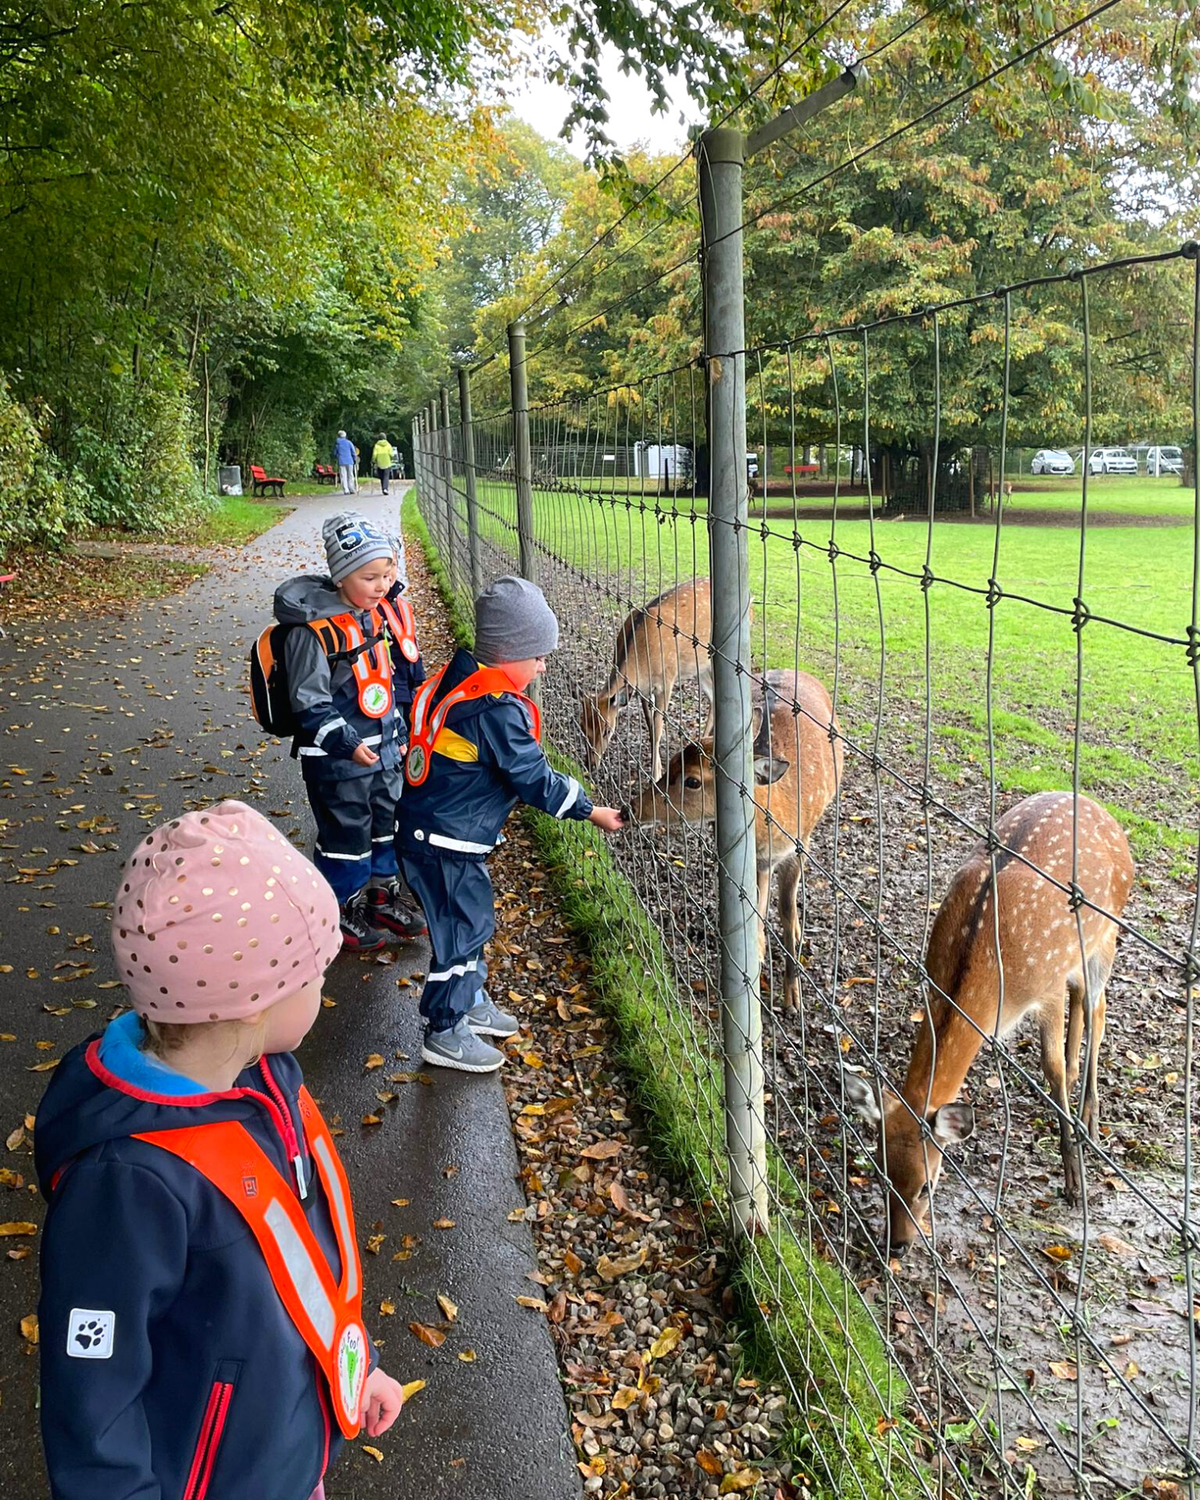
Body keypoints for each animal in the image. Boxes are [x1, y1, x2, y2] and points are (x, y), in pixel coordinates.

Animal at [627, 669, 846, 1008]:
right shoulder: (750, 856)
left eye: (692, 781)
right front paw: (756, 956)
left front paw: (792, 996)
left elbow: (786, 910)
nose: (632, 808)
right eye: (672, 761)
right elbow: (755, 907)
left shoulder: (798, 847)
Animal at [846, 798, 1134, 1254]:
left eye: (928, 1185)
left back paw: (1088, 1120)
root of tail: (1105, 813)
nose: (897, 1243)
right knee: (1089, 1007)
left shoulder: (1047, 984)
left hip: (1108, 933)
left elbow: (1051, 1068)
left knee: (1098, 1008)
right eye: (879, 1173)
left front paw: (1074, 1184)